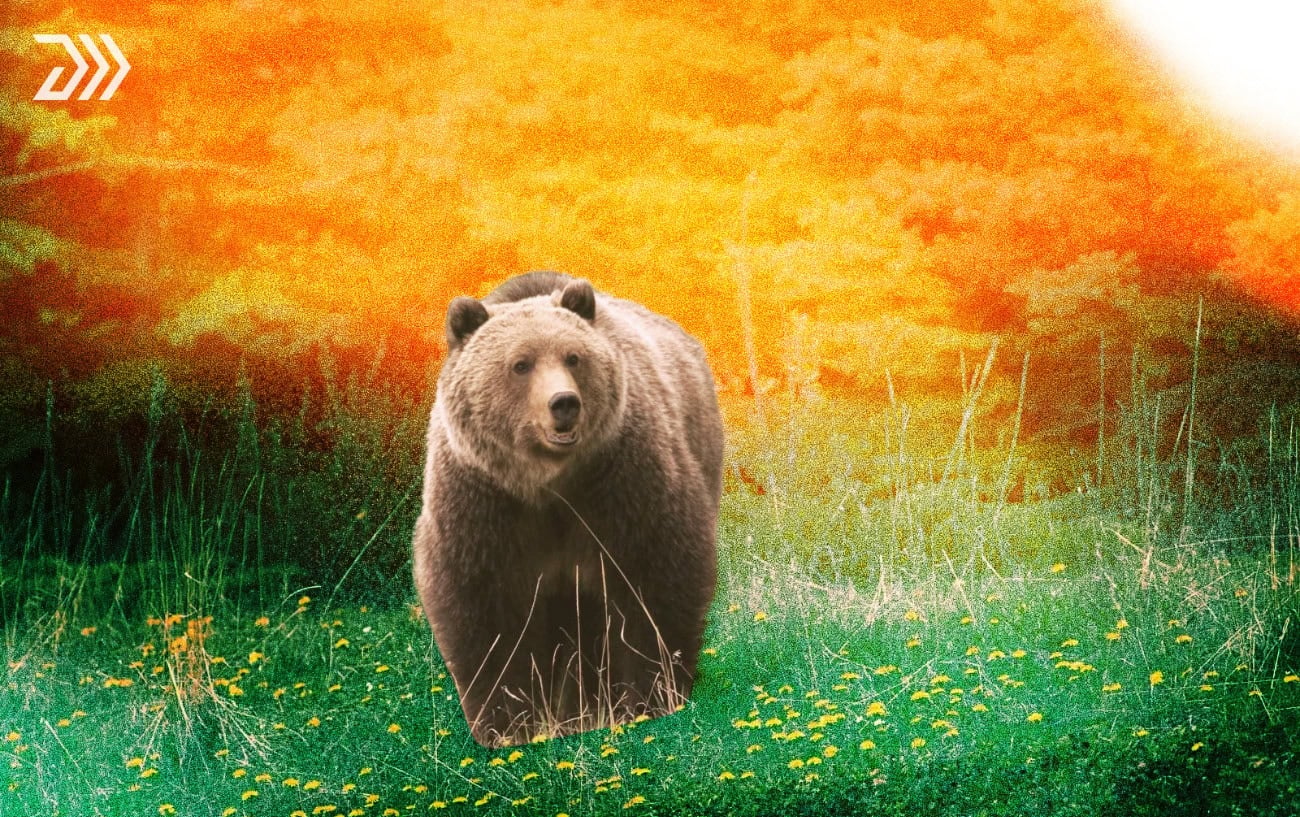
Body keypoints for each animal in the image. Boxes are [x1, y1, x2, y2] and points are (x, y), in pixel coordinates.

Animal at [411, 271, 723, 747]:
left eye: (573, 357)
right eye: (521, 364)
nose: (564, 403)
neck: (548, 485)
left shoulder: (621, 484)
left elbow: (654, 579)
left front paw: (649, 699)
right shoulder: (484, 502)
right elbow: (484, 607)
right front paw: (507, 725)